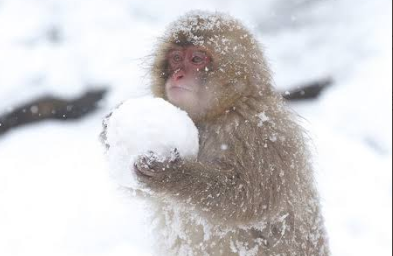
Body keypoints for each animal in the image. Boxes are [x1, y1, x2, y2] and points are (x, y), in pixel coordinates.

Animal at [105, 11, 330, 256]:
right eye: (176, 58)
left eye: (196, 59)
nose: (177, 75)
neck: (221, 111)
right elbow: (140, 189)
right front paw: (107, 130)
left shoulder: (262, 132)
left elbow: (248, 200)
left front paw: (171, 176)